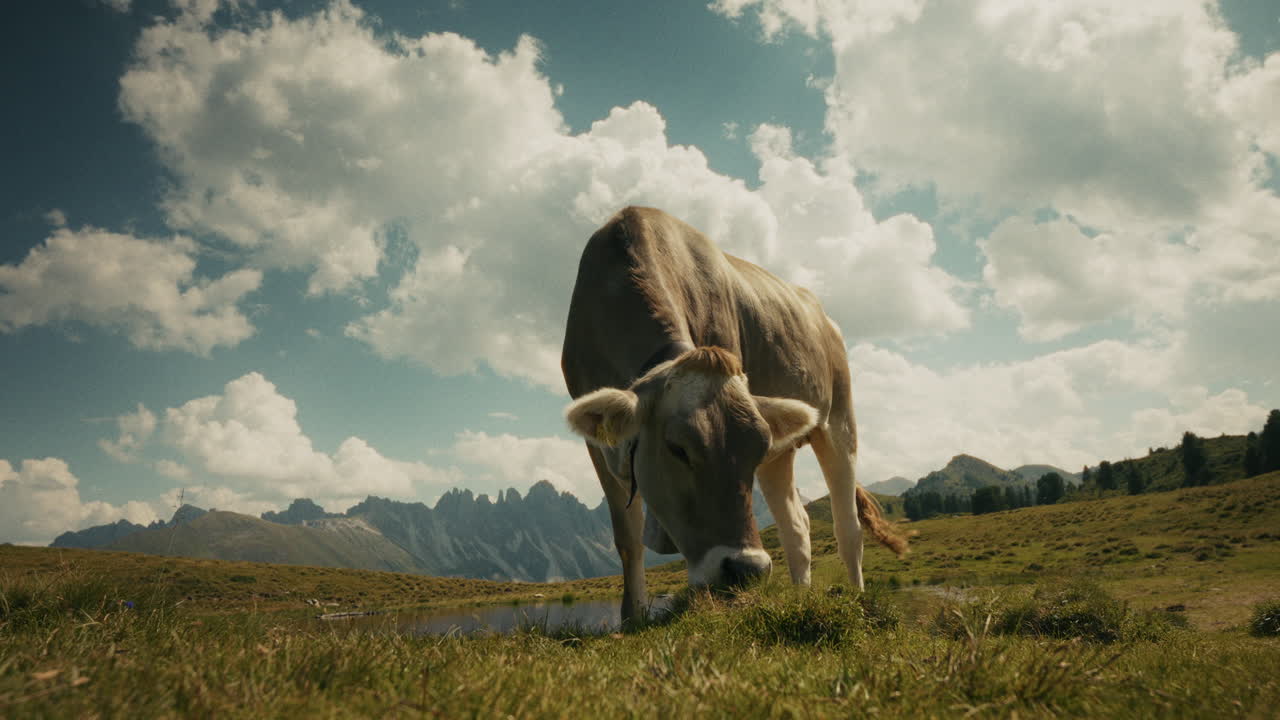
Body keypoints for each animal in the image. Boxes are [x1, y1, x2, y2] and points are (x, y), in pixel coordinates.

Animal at [561, 206, 907, 624]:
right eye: (677, 448)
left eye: (752, 452)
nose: (747, 569)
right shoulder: (598, 445)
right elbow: (628, 538)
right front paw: (632, 619)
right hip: (782, 454)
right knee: (797, 527)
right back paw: (802, 599)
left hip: (839, 421)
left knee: (848, 528)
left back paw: (856, 598)